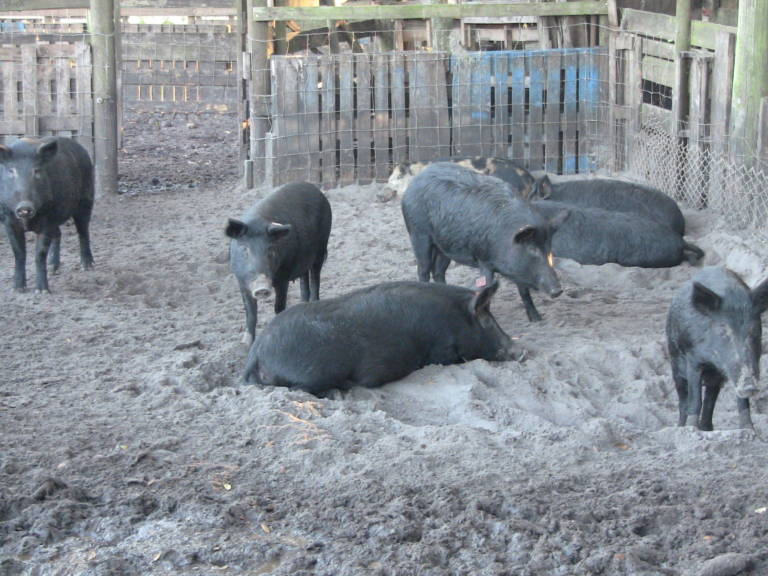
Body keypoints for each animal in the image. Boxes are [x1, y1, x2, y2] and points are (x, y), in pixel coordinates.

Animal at [0, 137, 94, 293]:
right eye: (11, 171)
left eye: (36, 171)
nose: (24, 206)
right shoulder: (8, 222)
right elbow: (19, 254)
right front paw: (18, 289)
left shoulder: (47, 221)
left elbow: (40, 254)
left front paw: (42, 291)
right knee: (59, 233)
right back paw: (53, 268)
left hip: (86, 199)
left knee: (83, 231)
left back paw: (87, 266)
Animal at [225, 181, 332, 346]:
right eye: (244, 249)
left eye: (270, 250)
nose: (262, 287)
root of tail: (316, 190)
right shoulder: (241, 281)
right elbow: (250, 314)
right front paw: (245, 343)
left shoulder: (283, 277)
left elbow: (278, 307)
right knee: (304, 277)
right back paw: (302, 303)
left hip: (321, 246)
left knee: (315, 277)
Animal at [244, 280, 524, 394]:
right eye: (486, 320)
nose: (521, 351)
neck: (455, 317)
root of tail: (257, 351)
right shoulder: (441, 351)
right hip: (315, 373)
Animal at [401, 162, 567, 322]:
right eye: (532, 249)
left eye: (549, 249)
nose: (558, 290)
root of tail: (414, 181)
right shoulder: (484, 260)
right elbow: (486, 286)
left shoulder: (518, 269)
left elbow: (524, 292)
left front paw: (537, 319)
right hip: (418, 234)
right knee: (423, 270)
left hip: (444, 247)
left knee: (438, 271)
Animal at [667, 267, 768, 431]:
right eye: (723, 331)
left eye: (754, 331)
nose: (749, 385)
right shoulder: (692, 359)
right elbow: (695, 399)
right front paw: (691, 428)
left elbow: (740, 400)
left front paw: (749, 429)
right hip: (674, 360)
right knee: (683, 399)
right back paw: (681, 426)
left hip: (714, 378)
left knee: (710, 398)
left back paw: (707, 428)